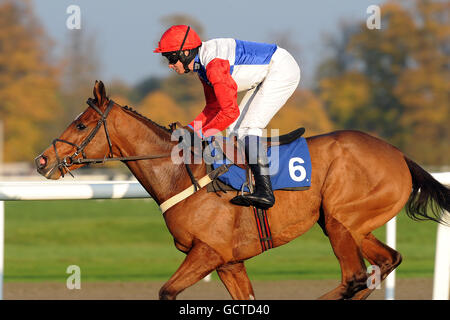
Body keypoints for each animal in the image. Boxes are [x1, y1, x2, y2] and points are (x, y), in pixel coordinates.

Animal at [34, 80, 446, 300]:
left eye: (81, 124)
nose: (41, 160)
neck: (182, 174)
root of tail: (398, 154)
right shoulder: (229, 262)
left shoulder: (207, 253)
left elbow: (166, 291)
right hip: (352, 224)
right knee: (384, 263)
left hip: (340, 220)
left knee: (354, 276)